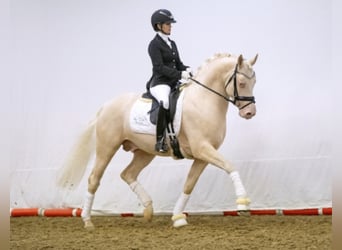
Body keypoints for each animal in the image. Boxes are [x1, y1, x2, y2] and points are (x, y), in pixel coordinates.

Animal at [57, 52, 258, 229]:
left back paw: (148, 209)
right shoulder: (202, 148)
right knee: (94, 179)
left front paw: (178, 218)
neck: (203, 100)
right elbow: (230, 166)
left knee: (128, 174)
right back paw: (87, 221)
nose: (250, 113)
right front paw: (242, 203)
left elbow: (189, 184)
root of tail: (105, 106)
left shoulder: (203, 155)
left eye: (254, 82)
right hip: (107, 147)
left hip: (145, 152)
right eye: (241, 83)